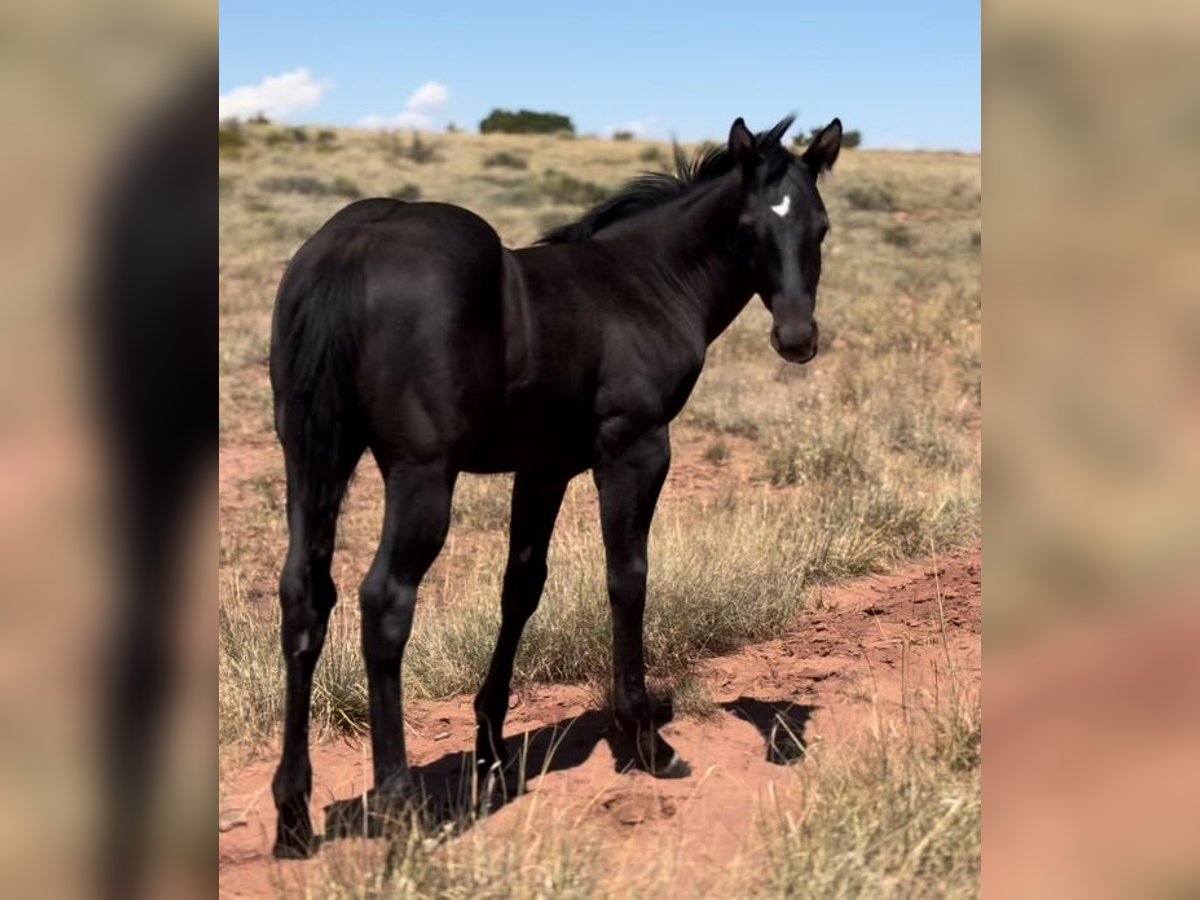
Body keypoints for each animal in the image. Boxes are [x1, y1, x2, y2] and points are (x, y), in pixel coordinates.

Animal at [267, 114, 840, 859]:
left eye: (820, 226)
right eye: (749, 227)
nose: (797, 338)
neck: (643, 284)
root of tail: (351, 243)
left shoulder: (542, 468)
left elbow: (521, 587)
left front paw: (491, 743)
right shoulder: (635, 450)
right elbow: (628, 580)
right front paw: (647, 740)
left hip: (311, 460)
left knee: (305, 597)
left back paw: (293, 817)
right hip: (420, 475)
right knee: (385, 601)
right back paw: (397, 801)